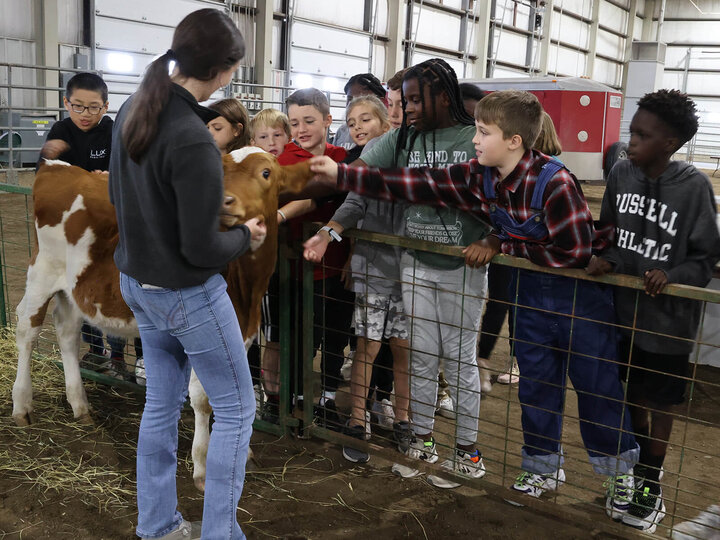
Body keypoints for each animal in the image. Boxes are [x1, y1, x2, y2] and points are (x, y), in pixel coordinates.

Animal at [13, 147, 312, 490]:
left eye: (266, 173)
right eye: (218, 171)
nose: (223, 202)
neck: (245, 285)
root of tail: (57, 167)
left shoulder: (242, 332)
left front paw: (243, 453)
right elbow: (203, 399)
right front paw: (203, 466)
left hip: (74, 288)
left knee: (67, 332)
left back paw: (80, 405)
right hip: (42, 272)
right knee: (27, 329)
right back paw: (22, 406)